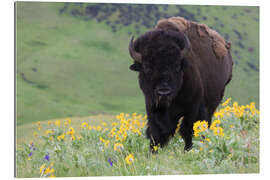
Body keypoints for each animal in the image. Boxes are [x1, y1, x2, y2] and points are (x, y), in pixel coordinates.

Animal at [128, 16, 232, 152]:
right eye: (146, 67)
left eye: (177, 66)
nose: (164, 92)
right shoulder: (151, 107)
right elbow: (155, 133)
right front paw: (152, 152)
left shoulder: (192, 108)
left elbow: (188, 130)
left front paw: (188, 150)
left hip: (212, 104)